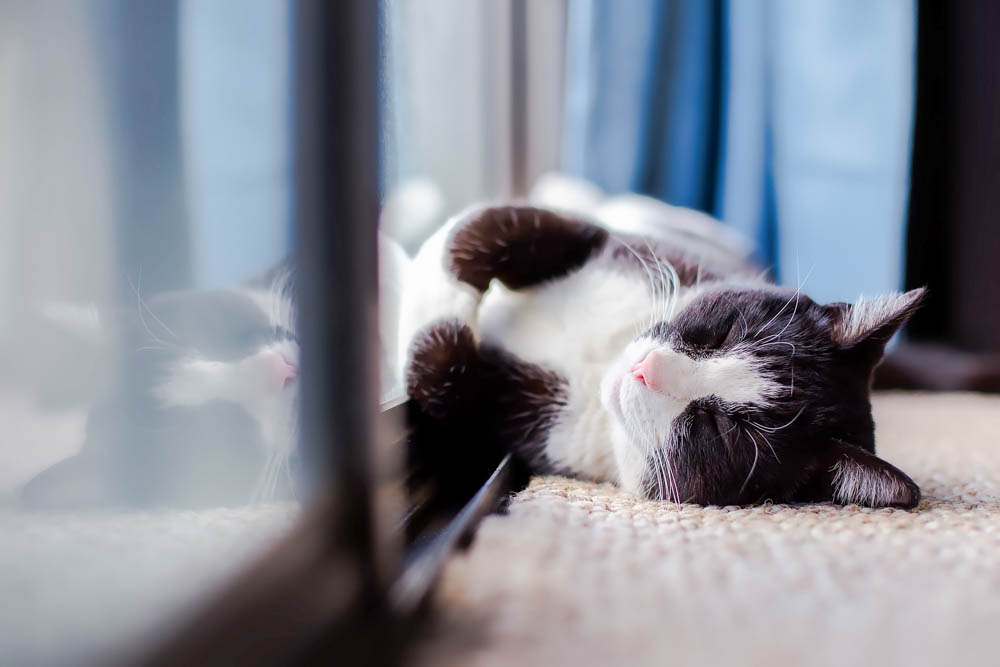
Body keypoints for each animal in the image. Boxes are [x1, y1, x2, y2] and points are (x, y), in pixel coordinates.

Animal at [398, 206, 920, 508]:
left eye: (721, 427)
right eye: (724, 333)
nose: (644, 370)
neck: (601, 359)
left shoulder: (527, 430)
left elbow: (444, 380)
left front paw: (424, 297)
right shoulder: (624, 246)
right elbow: (489, 227)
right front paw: (427, 262)